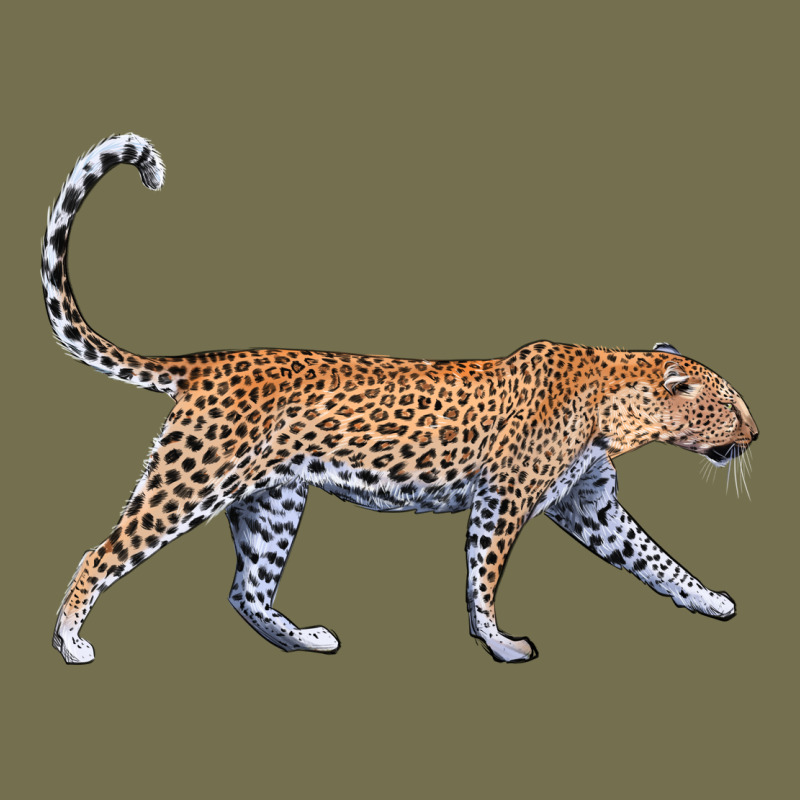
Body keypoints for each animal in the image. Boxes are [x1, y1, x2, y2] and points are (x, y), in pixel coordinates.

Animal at [43, 134, 758, 665]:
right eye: (732, 406)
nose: (757, 436)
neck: (617, 407)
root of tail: (205, 361)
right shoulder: (502, 499)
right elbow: (483, 576)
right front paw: (499, 643)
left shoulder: (590, 504)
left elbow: (657, 561)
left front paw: (710, 600)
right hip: (192, 481)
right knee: (101, 554)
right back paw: (71, 643)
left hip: (274, 499)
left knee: (246, 590)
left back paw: (305, 640)